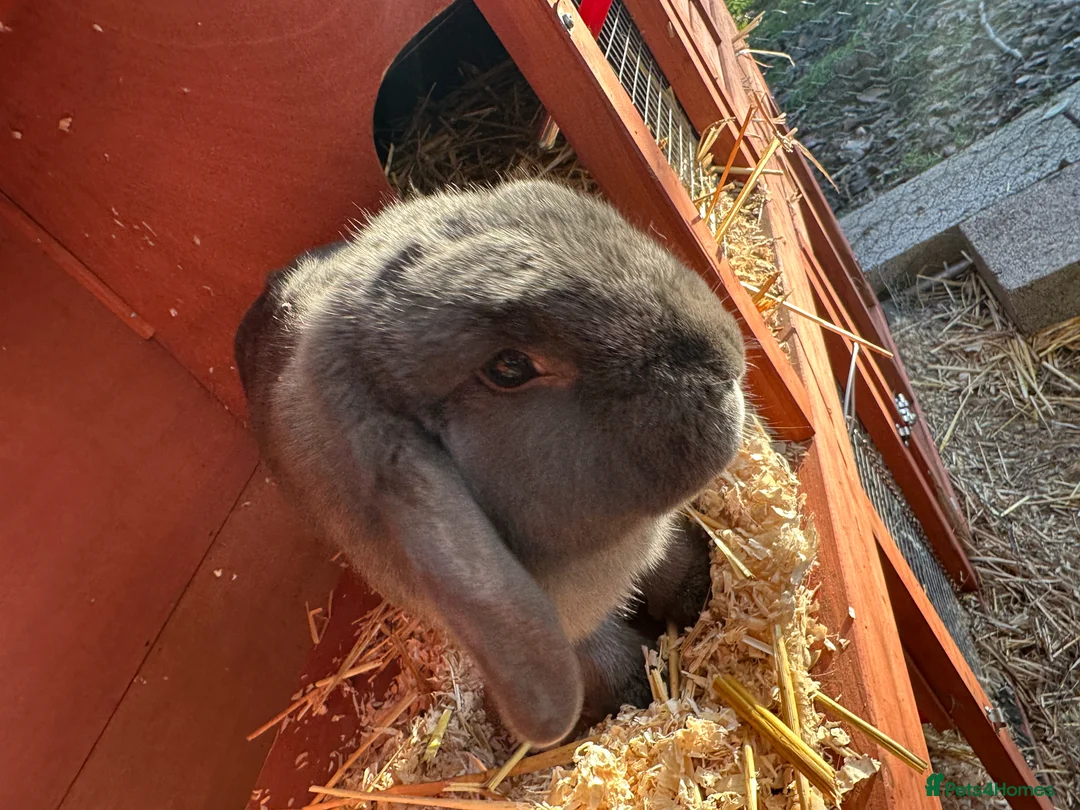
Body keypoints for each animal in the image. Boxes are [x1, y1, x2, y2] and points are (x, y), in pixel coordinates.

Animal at [234, 179, 746, 747]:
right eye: (510, 367)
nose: (724, 363)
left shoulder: (654, 544)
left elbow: (671, 563)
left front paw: (697, 595)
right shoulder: (568, 627)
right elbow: (610, 659)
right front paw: (637, 691)